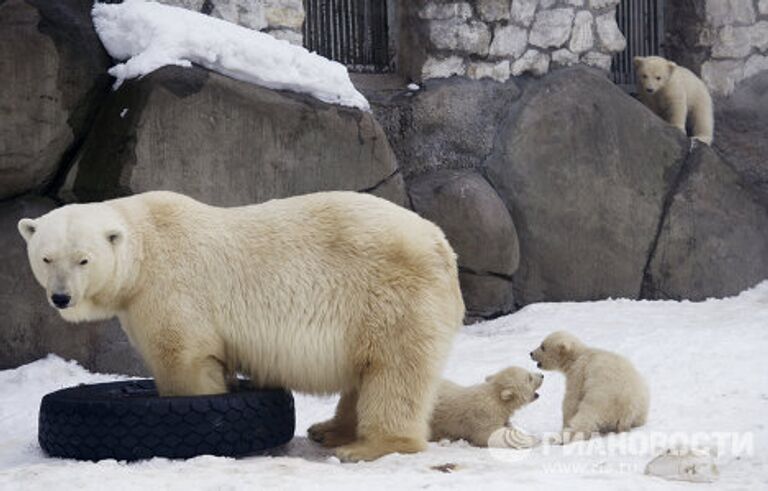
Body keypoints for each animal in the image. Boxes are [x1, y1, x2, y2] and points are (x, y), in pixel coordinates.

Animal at [18, 191, 462, 462]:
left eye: (83, 259)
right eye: (46, 257)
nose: (61, 297)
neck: (147, 242)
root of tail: (441, 243)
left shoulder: (170, 287)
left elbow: (182, 357)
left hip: (391, 295)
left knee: (395, 370)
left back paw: (369, 446)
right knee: (368, 370)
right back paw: (330, 430)